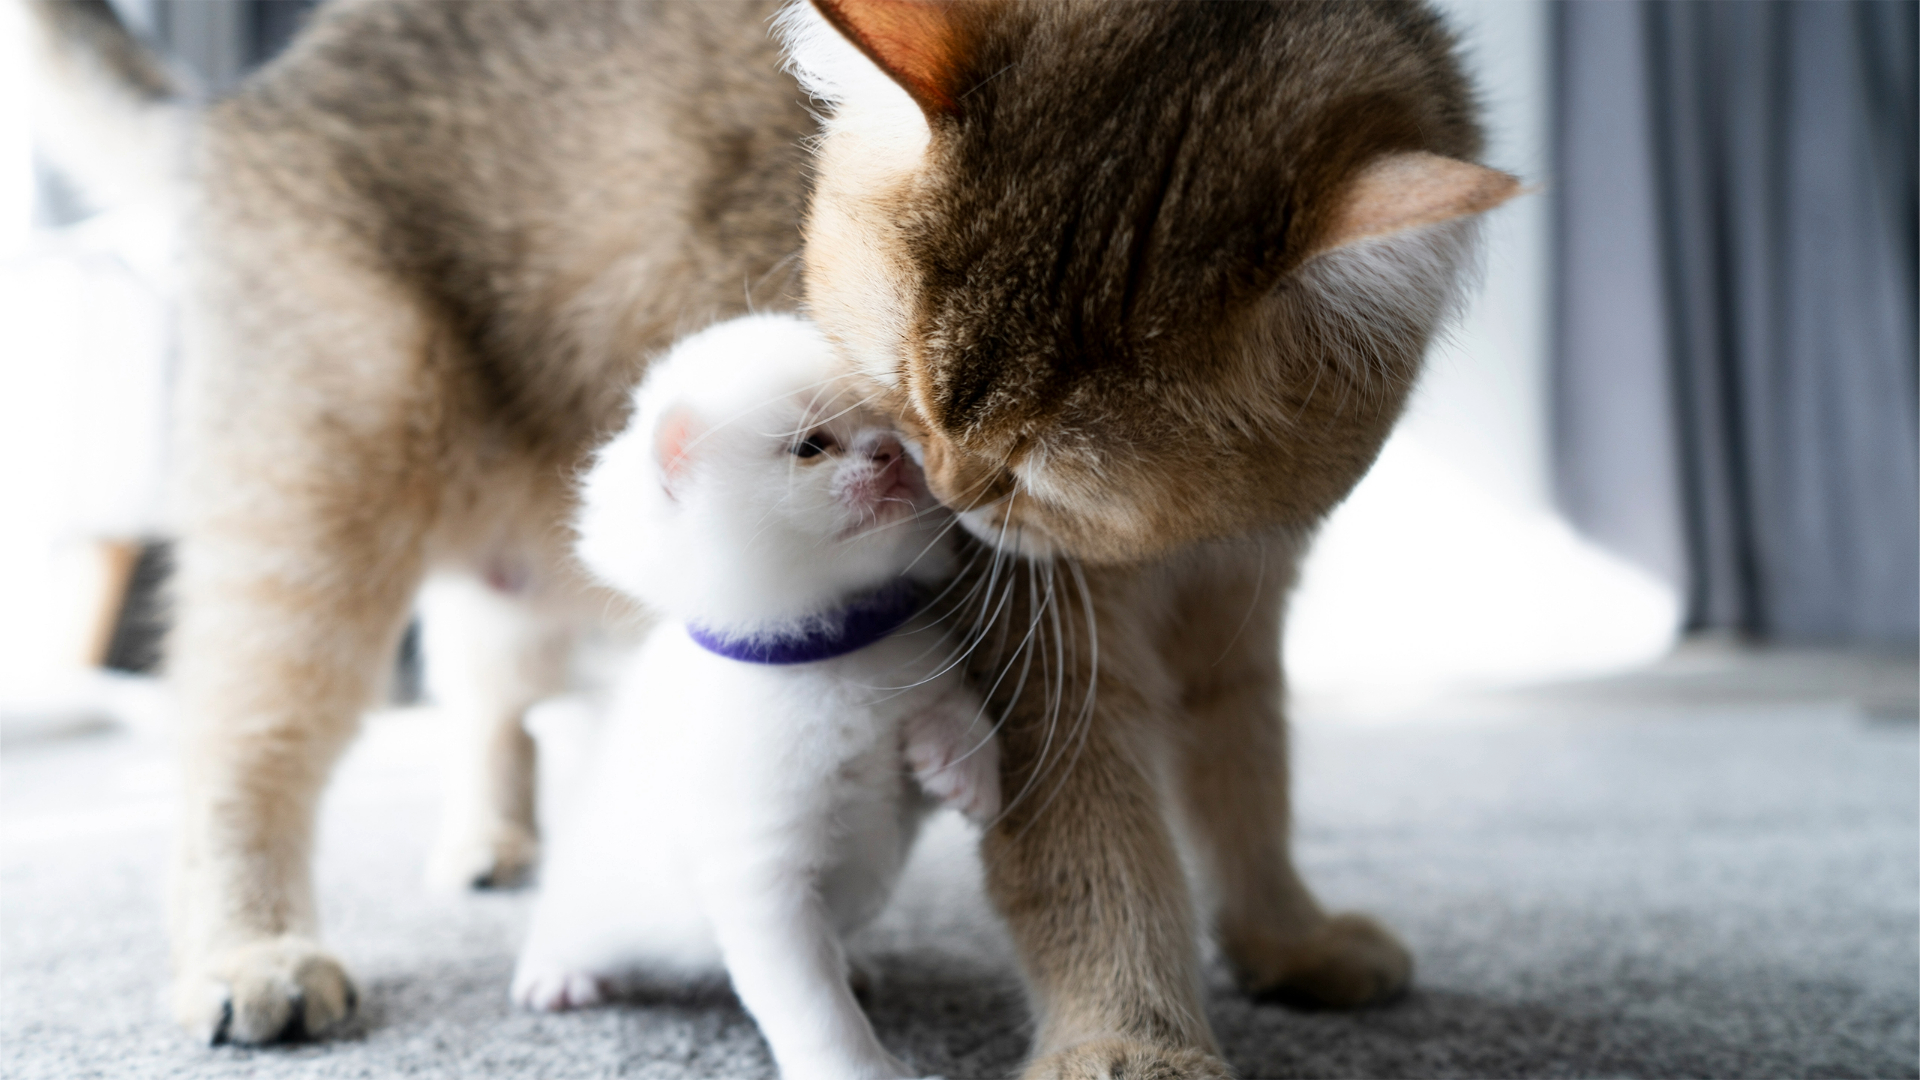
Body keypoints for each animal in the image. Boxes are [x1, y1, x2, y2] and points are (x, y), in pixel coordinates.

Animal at [510, 311, 998, 1076]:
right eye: (811, 447)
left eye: (889, 424)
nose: (893, 451)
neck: (830, 652)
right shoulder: (764, 881)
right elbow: (815, 1007)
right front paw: (859, 1069)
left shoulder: (900, 771)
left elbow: (950, 704)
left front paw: (965, 765)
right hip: (591, 893)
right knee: (555, 914)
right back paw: (555, 973)